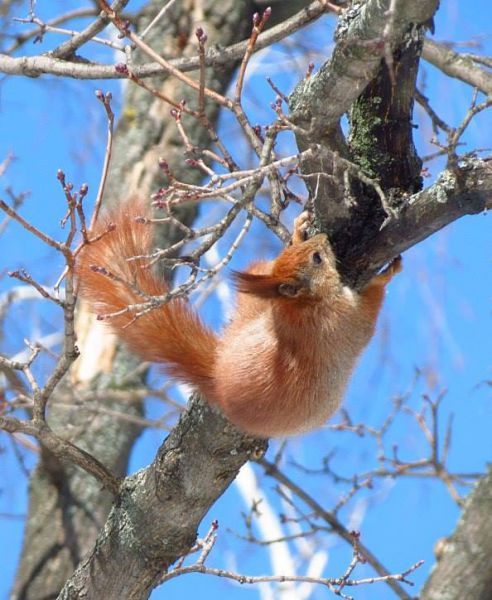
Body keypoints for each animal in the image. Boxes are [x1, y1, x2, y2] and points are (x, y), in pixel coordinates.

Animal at [76, 202, 400, 436]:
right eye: (317, 259)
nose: (323, 238)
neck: (301, 306)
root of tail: (219, 380)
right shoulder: (344, 320)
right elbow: (370, 310)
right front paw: (387, 274)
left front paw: (297, 232)